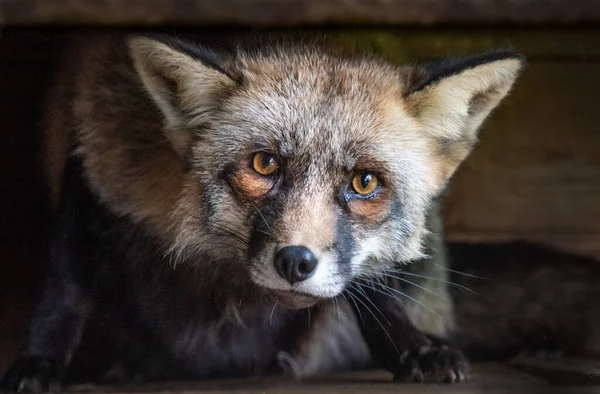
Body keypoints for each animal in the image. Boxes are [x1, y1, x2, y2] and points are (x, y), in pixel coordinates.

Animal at [1, 29, 524, 392]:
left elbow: (378, 293)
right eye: (264, 164)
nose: (295, 261)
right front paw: (39, 362)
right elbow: (65, 290)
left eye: (365, 183)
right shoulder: (99, 154)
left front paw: (411, 346)